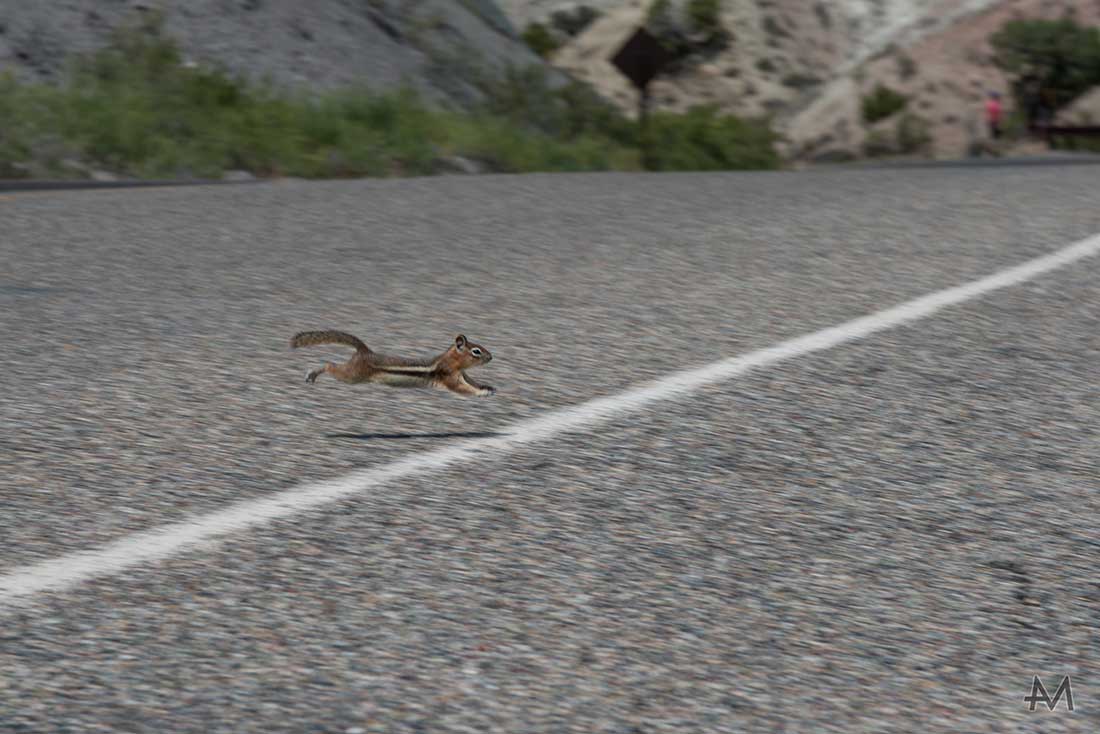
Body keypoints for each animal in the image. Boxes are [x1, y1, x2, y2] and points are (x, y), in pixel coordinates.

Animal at [290, 330, 496, 398]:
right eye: (476, 351)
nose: (491, 357)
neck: (452, 361)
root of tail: (364, 351)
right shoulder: (449, 377)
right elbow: (464, 389)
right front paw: (482, 393)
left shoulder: (463, 375)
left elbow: (472, 382)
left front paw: (488, 387)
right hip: (352, 375)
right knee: (329, 364)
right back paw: (313, 373)